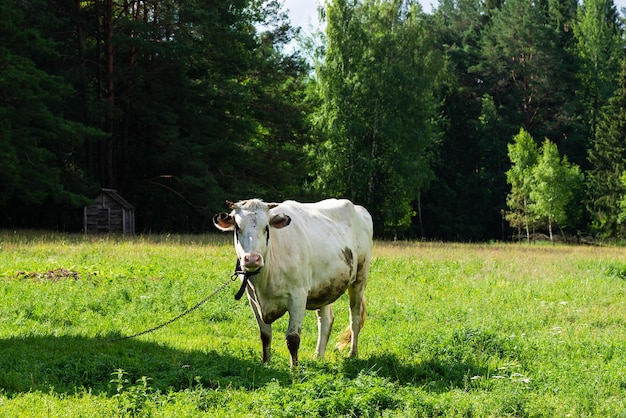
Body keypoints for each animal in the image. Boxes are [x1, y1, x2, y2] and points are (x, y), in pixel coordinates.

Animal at [212, 199, 372, 366]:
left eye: (266, 227)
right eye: (237, 227)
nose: (252, 259)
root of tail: (358, 208)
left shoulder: (298, 296)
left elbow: (293, 339)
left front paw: (294, 369)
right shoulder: (252, 299)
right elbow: (265, 335)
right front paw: (266, 364)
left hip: (360, 279)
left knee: (355, 318)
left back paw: (352, 353)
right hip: (325, 286)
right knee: (326, 320)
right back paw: (318, 356)